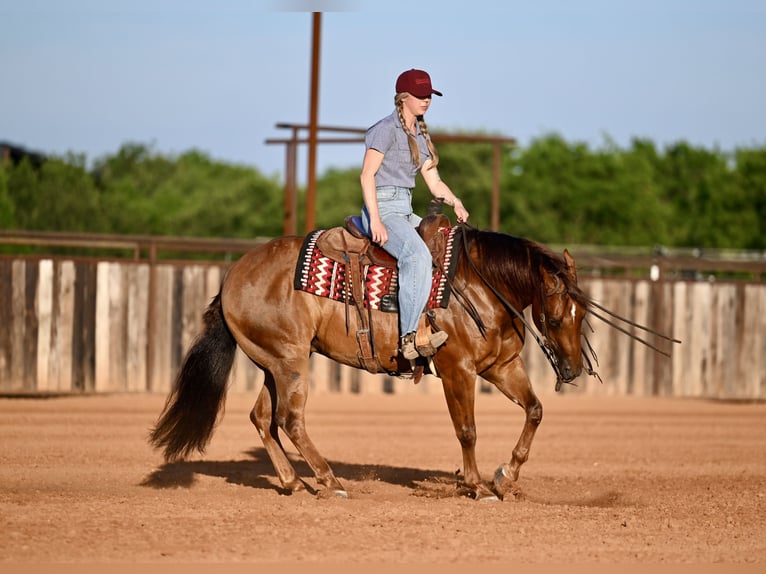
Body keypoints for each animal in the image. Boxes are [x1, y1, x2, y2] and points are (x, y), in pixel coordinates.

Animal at [149, 214, 592, 501]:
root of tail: (232, 278)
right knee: (290, 420)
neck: (478, 283)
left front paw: (506, 477)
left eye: (583, 314)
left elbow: (534, 410)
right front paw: (476, 485)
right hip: (290, 362)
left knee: (263, 418)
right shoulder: (458, 370)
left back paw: (293, 482)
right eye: (554, 318)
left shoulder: (501, 367)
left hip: (273, 363)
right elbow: (467, 430)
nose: (572, 370)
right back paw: (329, 481)